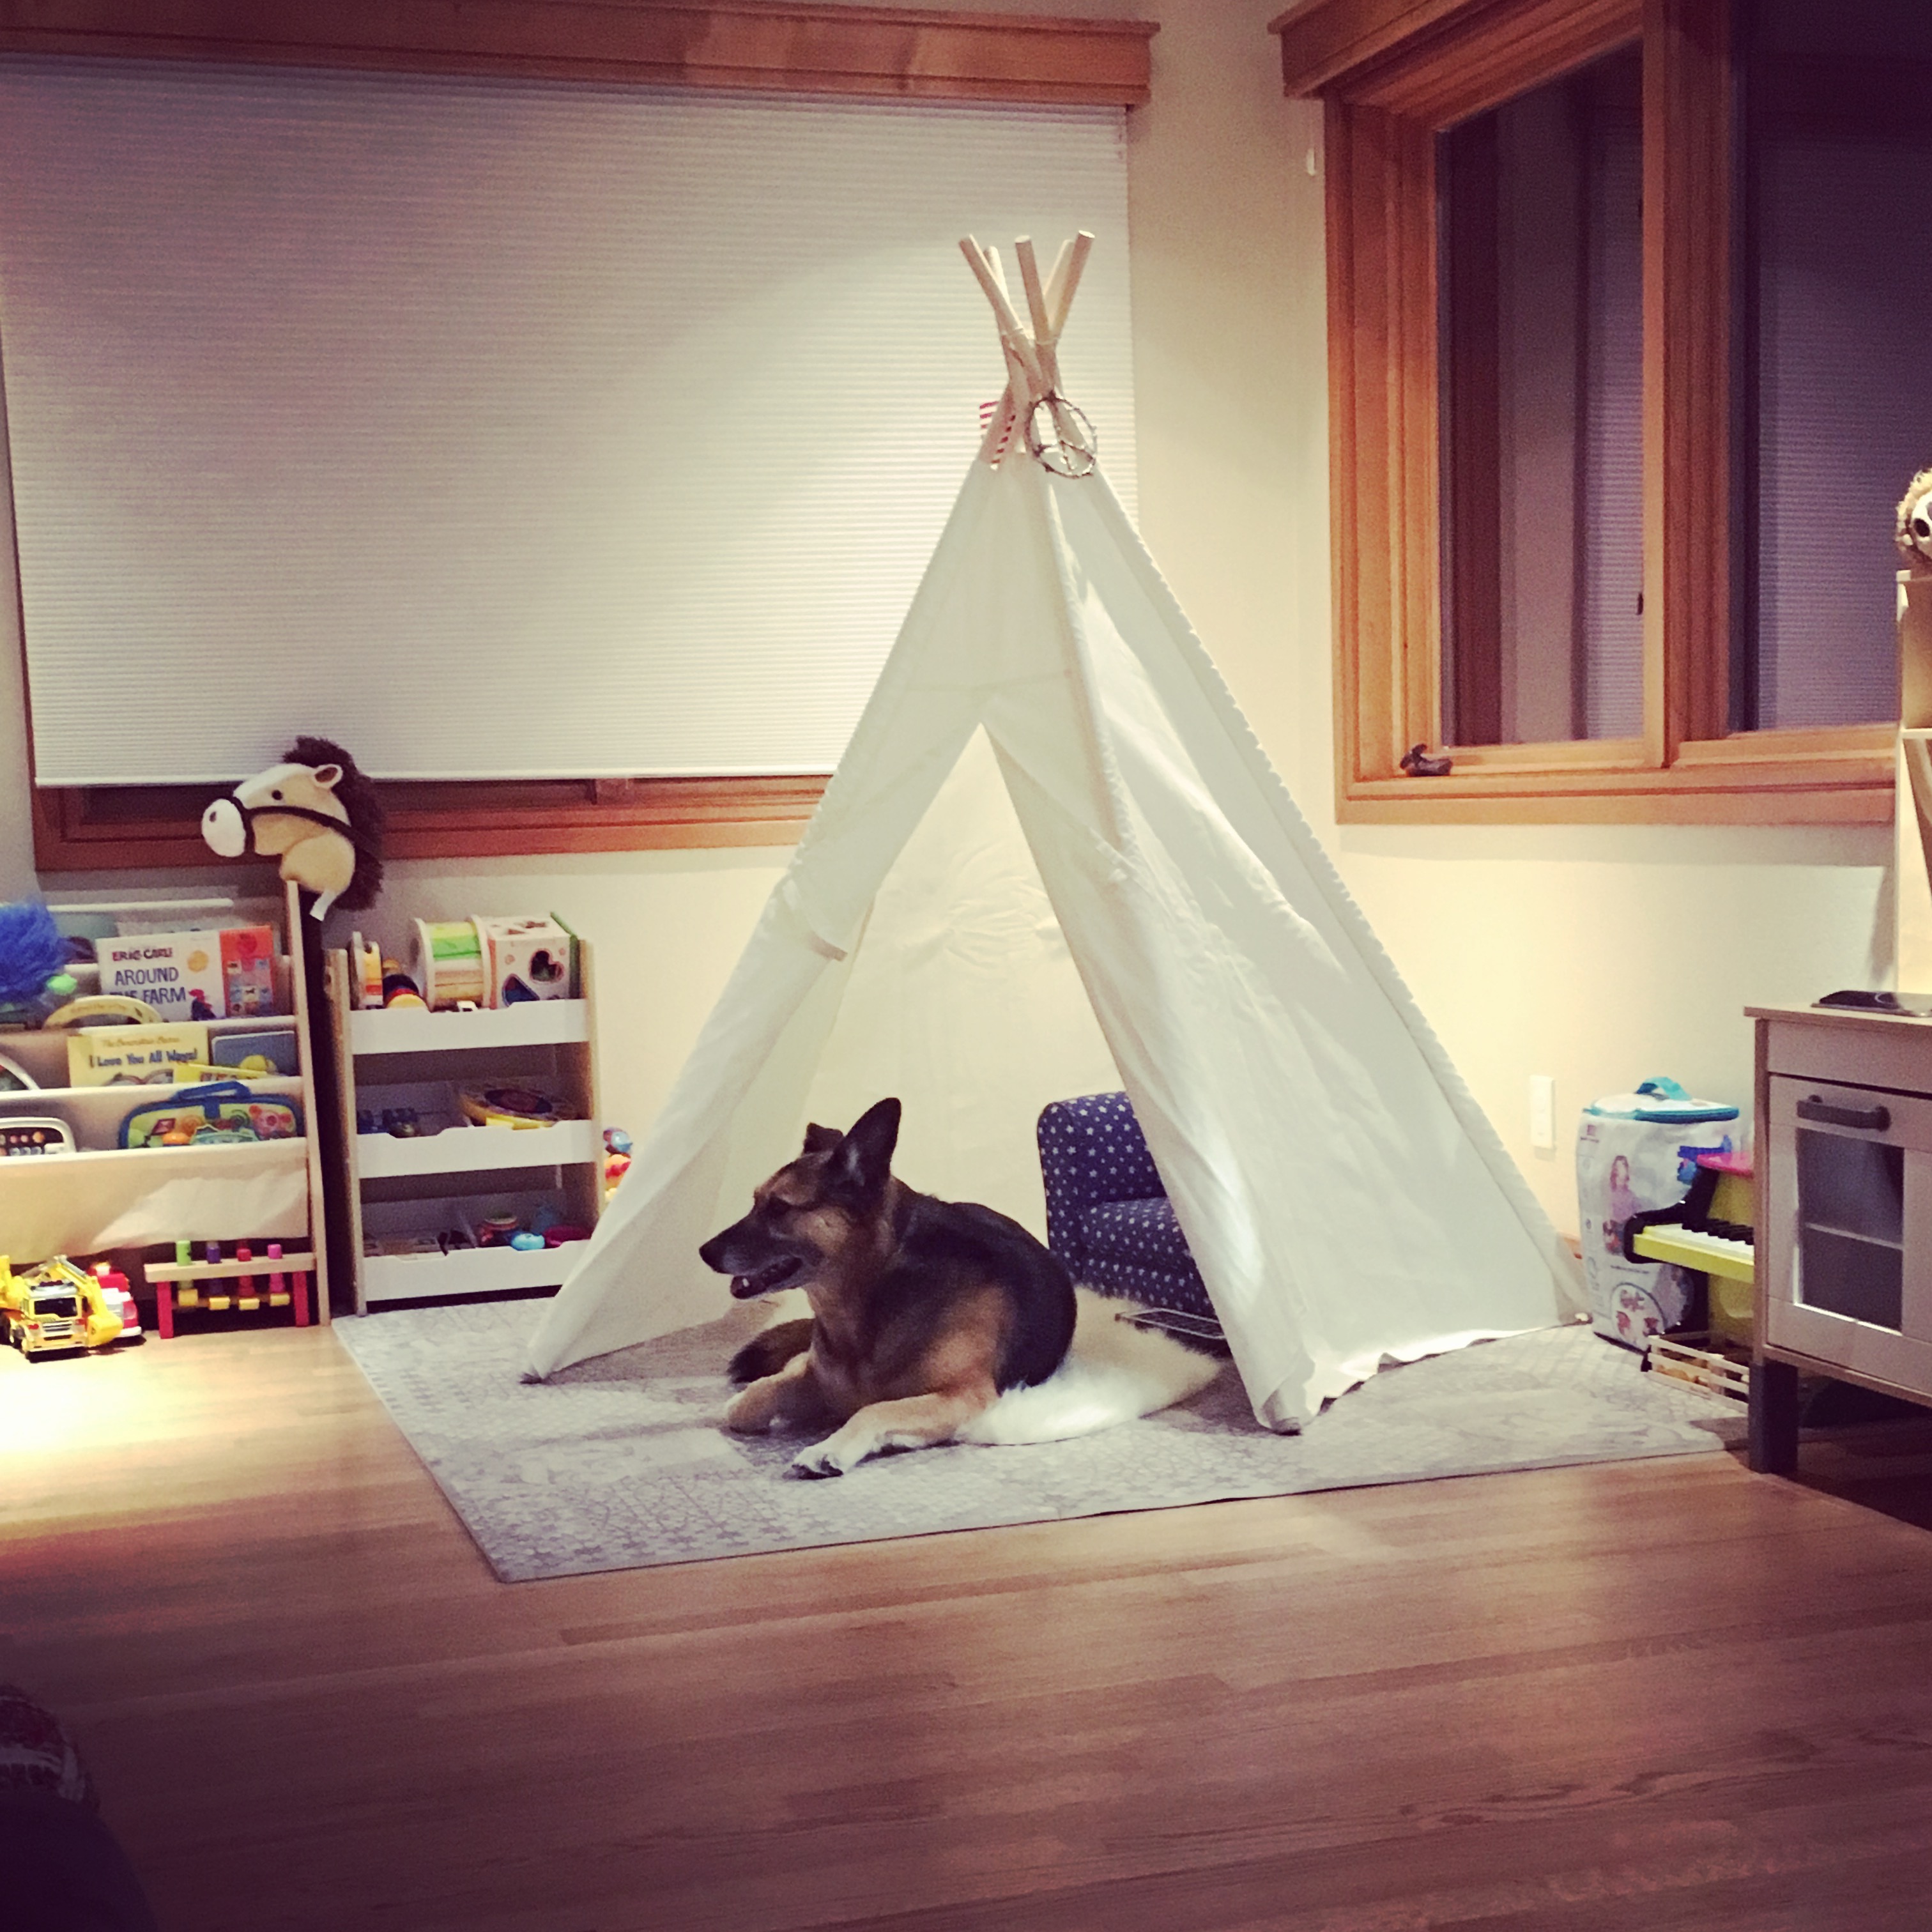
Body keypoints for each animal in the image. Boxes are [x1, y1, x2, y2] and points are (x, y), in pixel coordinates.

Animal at [698, 1097, 1221, 1476]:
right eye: (755, 1201)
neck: (873, 1295)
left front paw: (833, 1447)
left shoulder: (962, 1397)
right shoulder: (814, 1375)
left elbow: (873, 1411)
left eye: (780, 1209)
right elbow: (752, 1401)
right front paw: (746, 1401)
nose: (704, 1252)